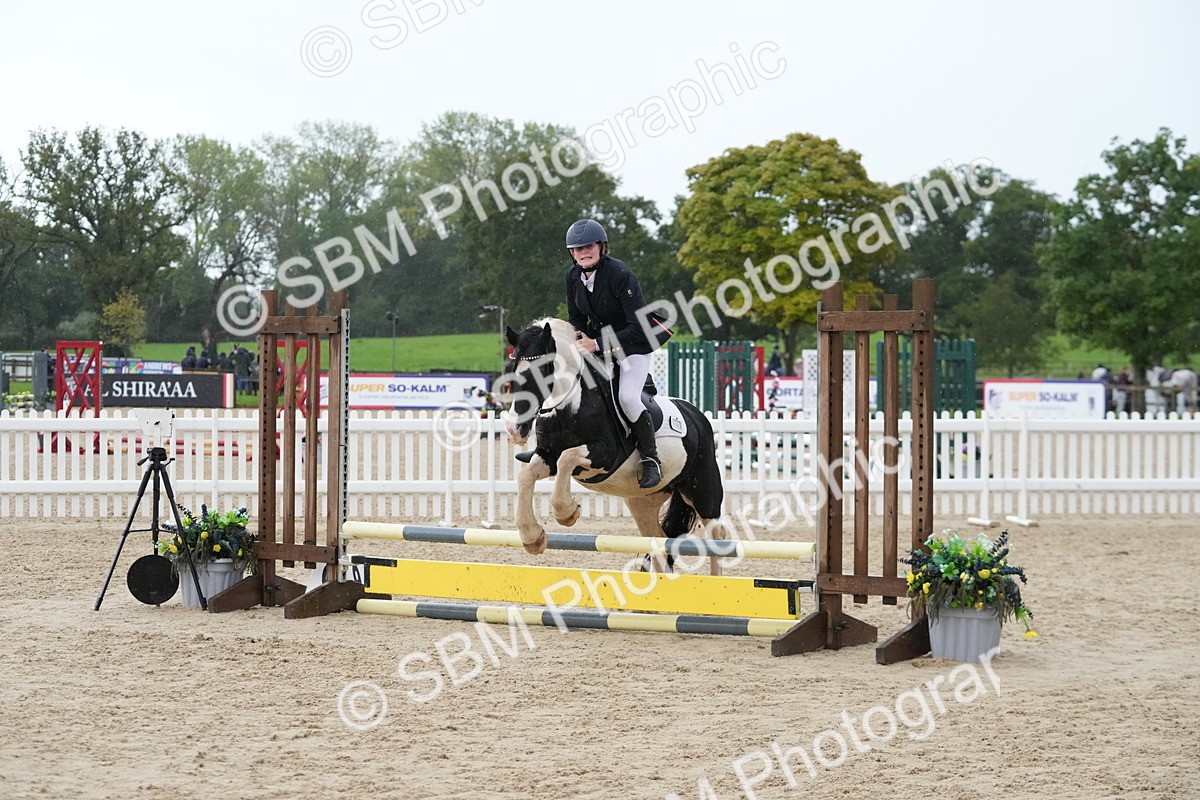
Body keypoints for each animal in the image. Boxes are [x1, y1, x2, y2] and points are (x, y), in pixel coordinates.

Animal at [498, 318, 726, 573]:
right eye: (509, 372)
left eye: (540, 371)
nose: (514, 429)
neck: (570, 404)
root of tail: (697, 417)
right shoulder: (547, 457)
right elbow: (527, 475)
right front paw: (532, 536)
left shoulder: (605, 454)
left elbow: (567, 457)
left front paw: (567, 512)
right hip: (642, 502)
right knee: (658, 542)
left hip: (704, 494)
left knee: (717, 539)